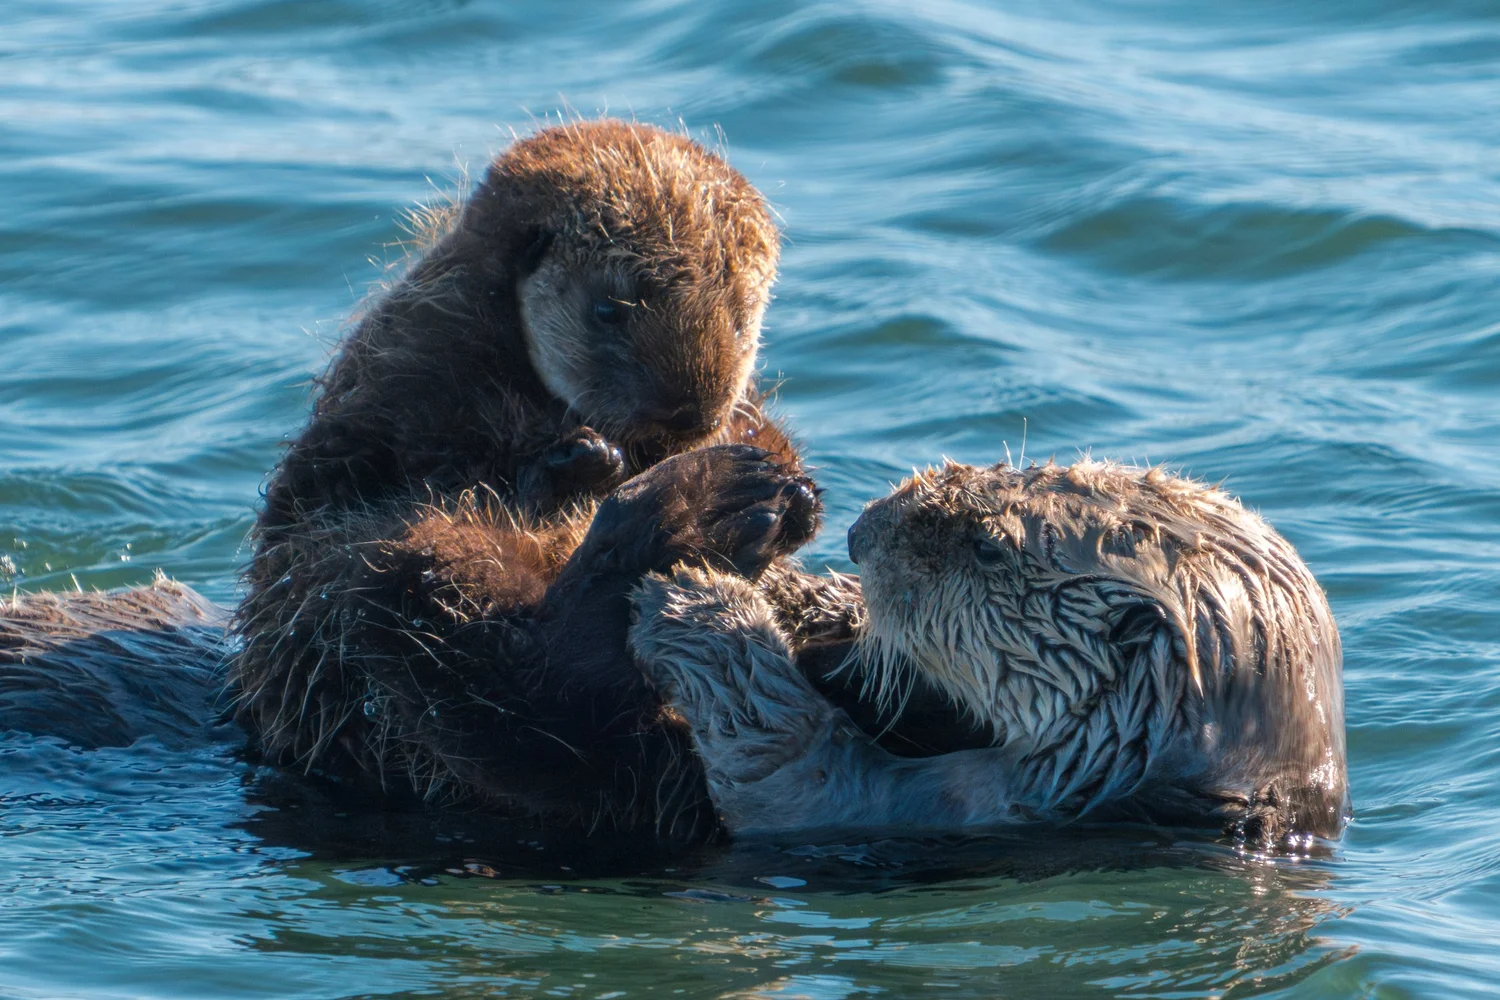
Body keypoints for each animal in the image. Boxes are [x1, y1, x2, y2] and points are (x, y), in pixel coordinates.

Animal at [630, 460, 1350, 847]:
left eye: (986, 548)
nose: (860, 534)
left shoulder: (955, 807)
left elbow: (794, 774)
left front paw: (701, 605)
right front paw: (800, 593)